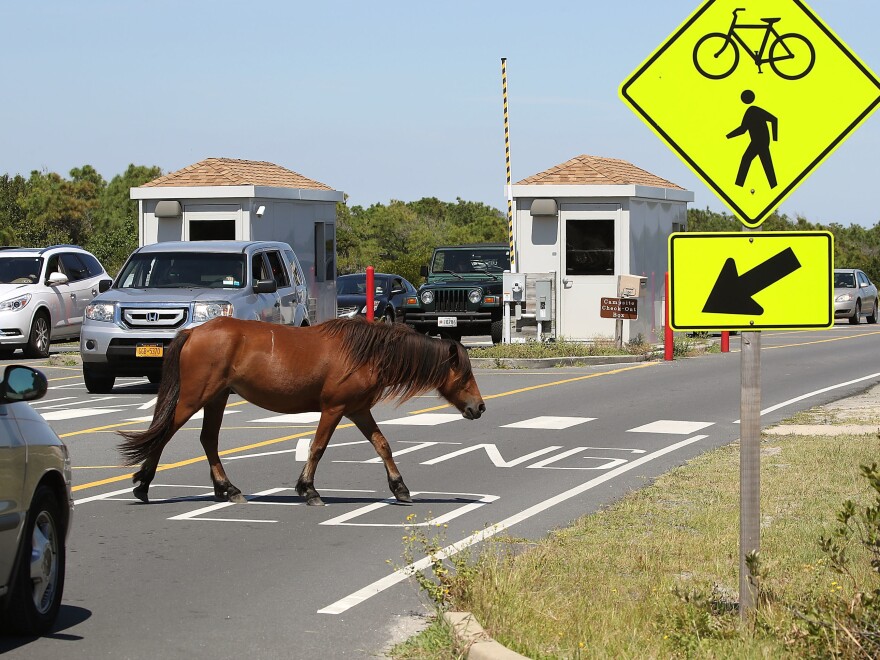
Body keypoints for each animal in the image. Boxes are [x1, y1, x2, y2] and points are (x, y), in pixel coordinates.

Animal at [117, 314, 484, 506]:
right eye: (465, 375)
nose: (479, 407)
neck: (364, 353)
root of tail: (194, 331)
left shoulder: (359, 410)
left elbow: (383, 445)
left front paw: (400, 487)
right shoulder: (334, 409)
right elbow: (318, 448)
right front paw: (308, 489)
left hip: (216, 398)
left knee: (208, 440)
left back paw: (227, 488)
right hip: (194, 398)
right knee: (164, 434)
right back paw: (143, 485)